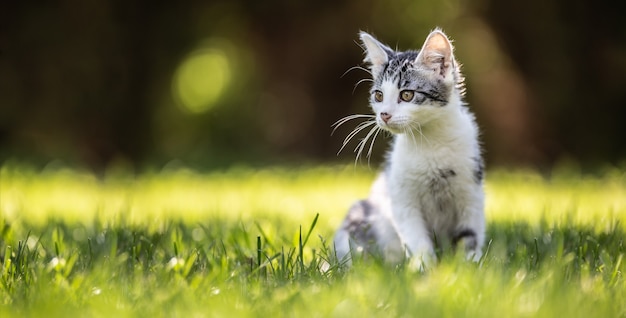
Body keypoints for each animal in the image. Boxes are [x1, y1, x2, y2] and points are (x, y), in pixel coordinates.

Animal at [332, 29, 482, 270]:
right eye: (379, 95)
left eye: (407, 95)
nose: (384, 114)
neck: (430, 141)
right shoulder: (401, 196)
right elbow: (416, 236)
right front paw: (424, 267)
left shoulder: (471, 190)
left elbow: (471, 234)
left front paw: (470, 266)